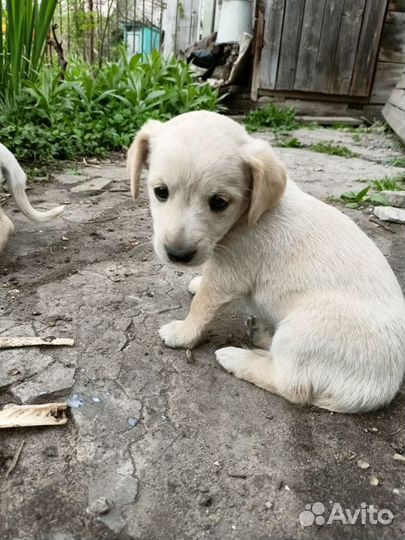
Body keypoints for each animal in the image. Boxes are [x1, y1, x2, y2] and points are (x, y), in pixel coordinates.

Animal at [127, 109, 404, 414]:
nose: (178, 254)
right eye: (160, 191)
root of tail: (381, 389)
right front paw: (197, 282)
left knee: (292, 384)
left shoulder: (228, 276)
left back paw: (236, 358)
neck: (249, 213)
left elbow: (201, 304)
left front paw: (183, 333)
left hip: (305, 327)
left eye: (219, 202)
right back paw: (260, 334)